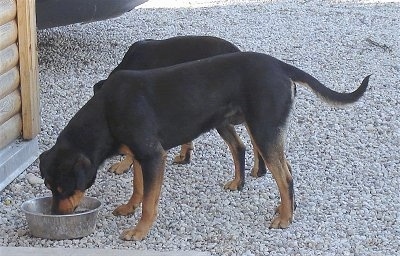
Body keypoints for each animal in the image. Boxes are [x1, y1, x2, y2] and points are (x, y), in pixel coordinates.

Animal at [39, 51, 370, 241]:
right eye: (49, 187)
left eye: (63, 188)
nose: (54, 215)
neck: (107, 112)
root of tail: (281, 66)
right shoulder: (140, 154)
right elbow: (138, 188)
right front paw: (128, 208)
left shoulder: (153, 155)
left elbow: (149, 202)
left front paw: (140, 231)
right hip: (252, 128)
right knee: (279, 167)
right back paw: (276, 203)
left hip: (263, 129)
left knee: (285, 175)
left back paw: (285, 218)